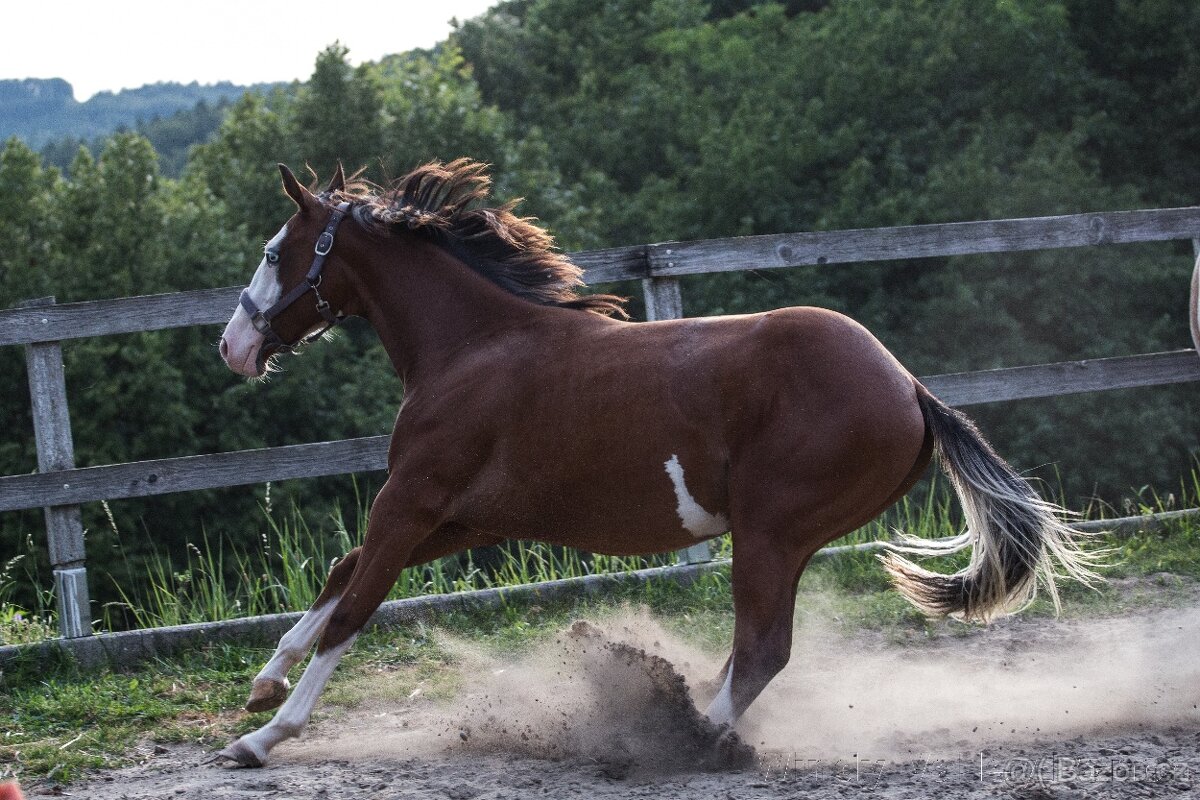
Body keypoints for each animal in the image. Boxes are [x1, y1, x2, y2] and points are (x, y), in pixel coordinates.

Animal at [213, 159, 1099, 767]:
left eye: (275, 250)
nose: (234, 345)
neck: (474, 349)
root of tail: (910, 387)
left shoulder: (414, 502)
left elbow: (357, 605)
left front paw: (264, 736)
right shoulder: (462, 520)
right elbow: (341, 576)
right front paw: (265, 683)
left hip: (772, 531)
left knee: (763, 649)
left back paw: (688, 740)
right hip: (785, 539)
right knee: (751, 650)